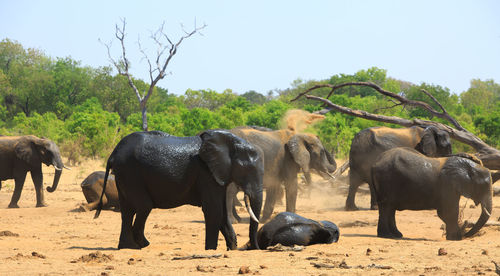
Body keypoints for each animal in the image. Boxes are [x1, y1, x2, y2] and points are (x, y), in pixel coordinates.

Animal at [94, 129, 266, 250]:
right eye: (248, 169)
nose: (254, 248)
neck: (229, 141)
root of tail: (113, 154)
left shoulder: (218, 175)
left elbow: (222, 212)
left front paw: (232, 248)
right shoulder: (205, 173)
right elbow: (214, 210)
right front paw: (210, 250)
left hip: (123, 175)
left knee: (127, 210)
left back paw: (128, 247)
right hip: (131, 173)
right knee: (144, 206)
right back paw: (143, 245)